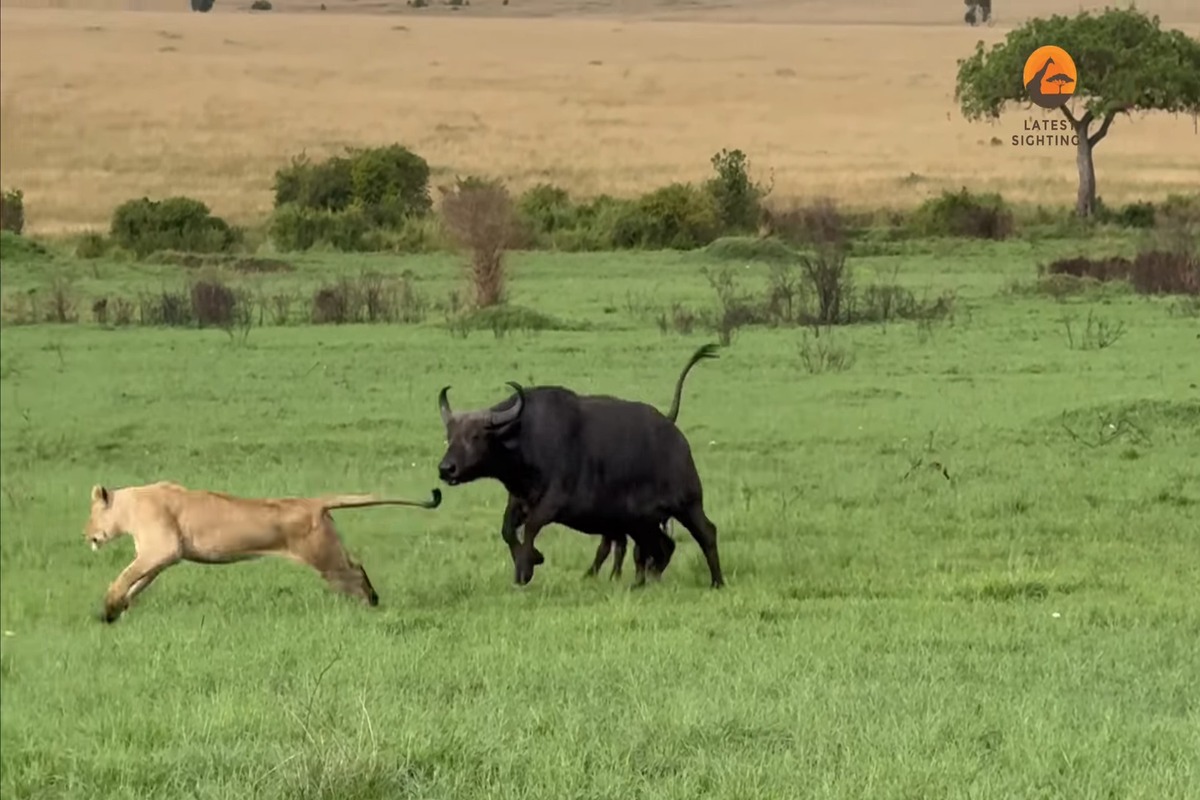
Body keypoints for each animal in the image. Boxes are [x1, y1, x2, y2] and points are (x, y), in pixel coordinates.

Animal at [83, 481, 442, 623]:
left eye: (92, 513)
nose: (86, 534)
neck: (129, 507)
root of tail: (313, 502)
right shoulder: (161, 558)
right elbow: (136, 584)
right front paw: (116, 612)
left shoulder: (163, 549)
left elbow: (124, 578)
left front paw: (108, 608)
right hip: (330, 553)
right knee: (356, 565)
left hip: (325, 558)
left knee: (354, 571)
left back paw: (371, 602)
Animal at [435, 343, 724, 589]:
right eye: (450, 435)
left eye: (475, 436)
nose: (446, 469)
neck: (526, 437)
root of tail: (674, 432)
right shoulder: (518, 499)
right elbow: (507, 530)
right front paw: (529, 562)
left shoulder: (553, 502)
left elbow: (531, 528)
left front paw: (528, 566)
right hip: (642, 520)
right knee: (660, 547)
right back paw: (643, 582)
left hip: (687, 503)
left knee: (706, 533)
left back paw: (716, 582)